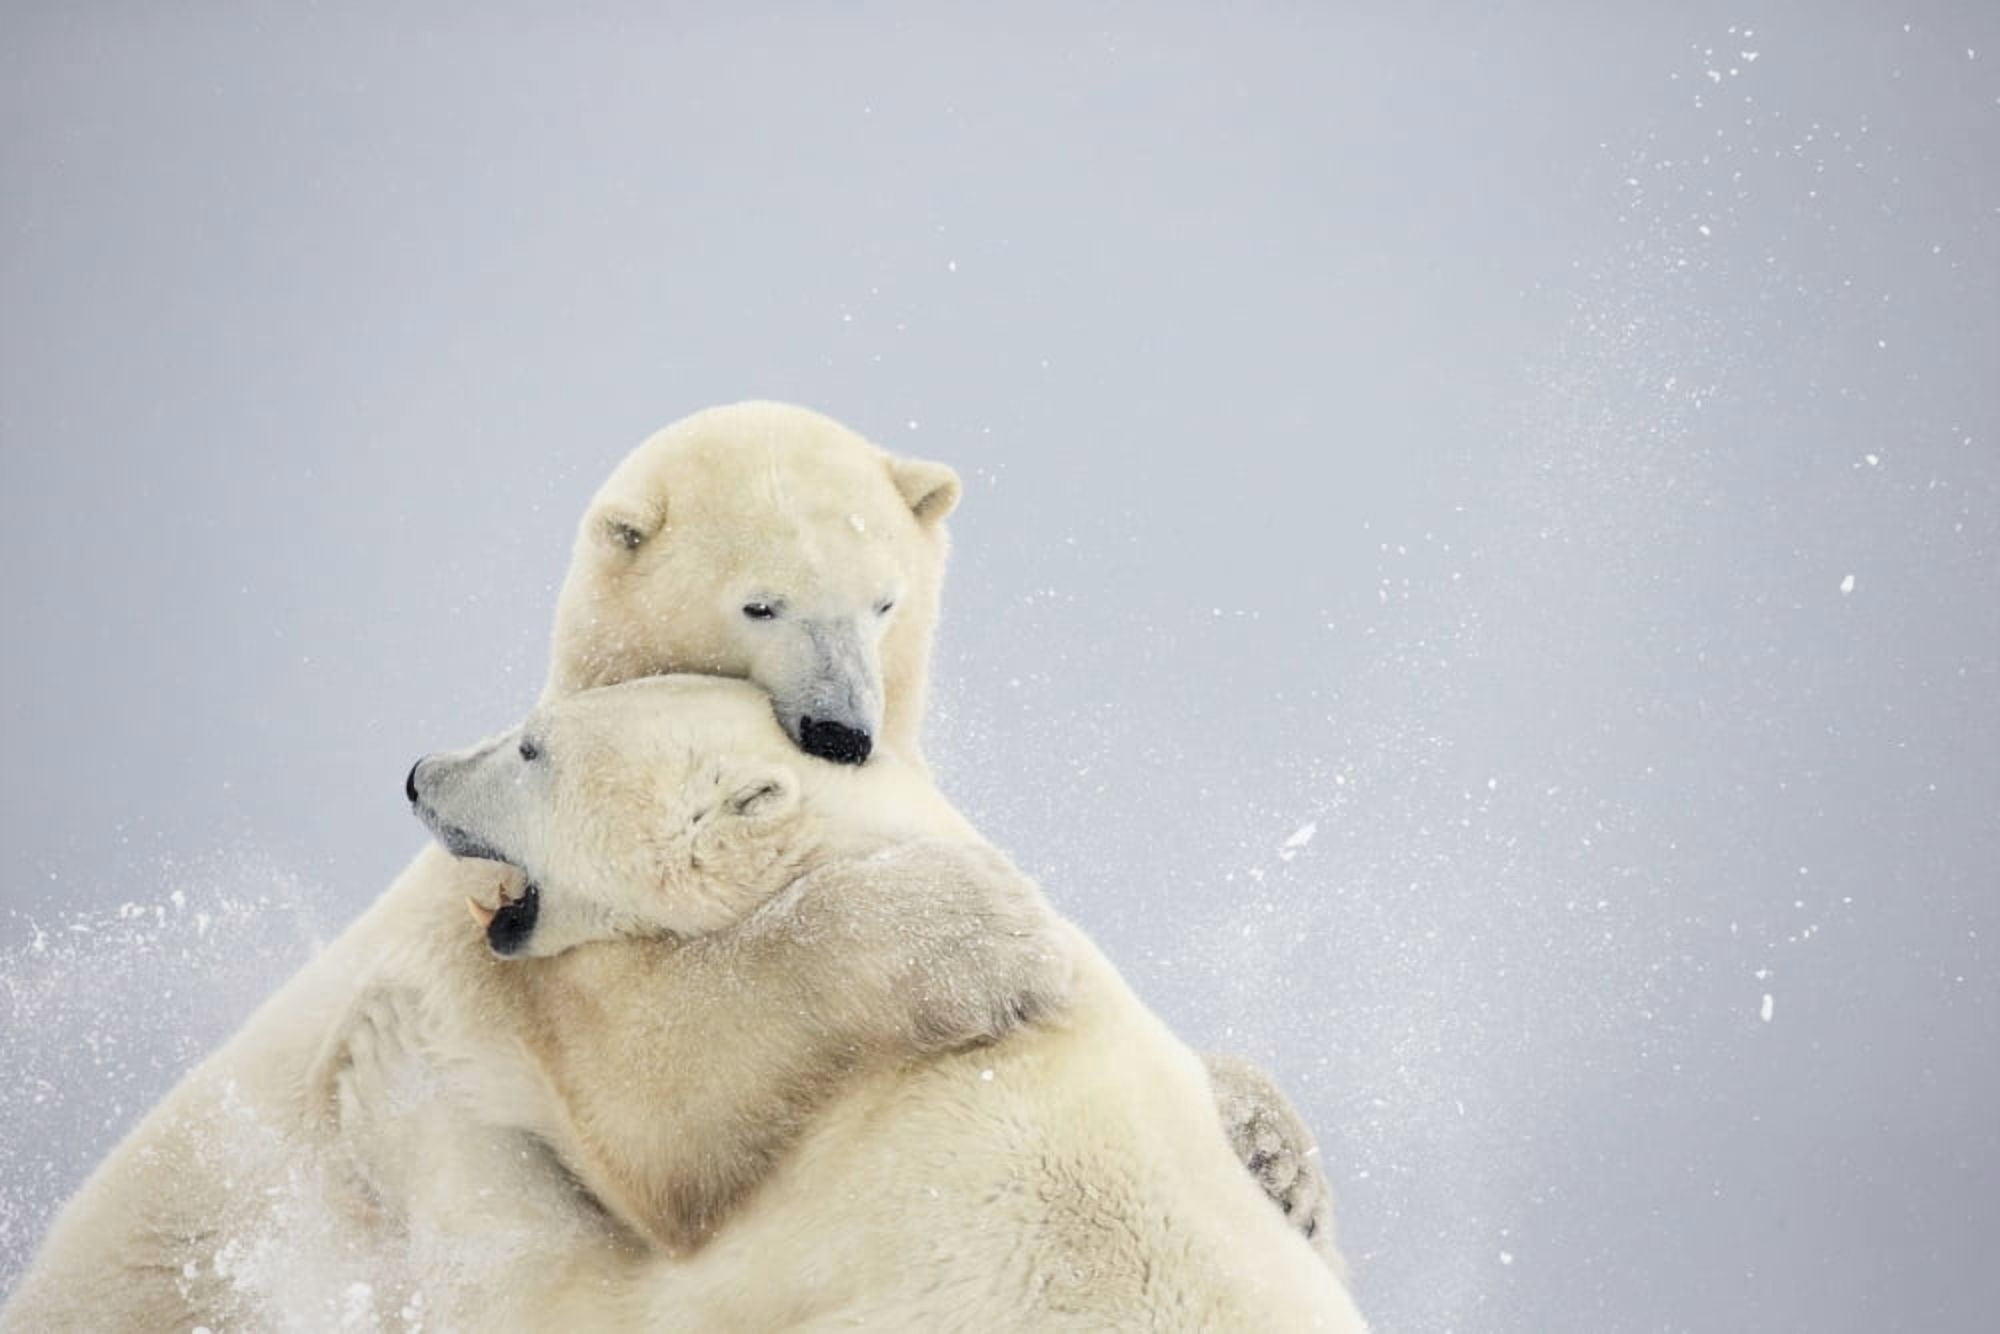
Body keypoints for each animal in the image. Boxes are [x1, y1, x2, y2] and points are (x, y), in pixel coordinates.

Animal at [323, 674, 1368, 1330]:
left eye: (533, 749)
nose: (419, 775)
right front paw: (1277, 1161)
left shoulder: (862, 1212)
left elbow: (635, 1176)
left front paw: (388, 1061)